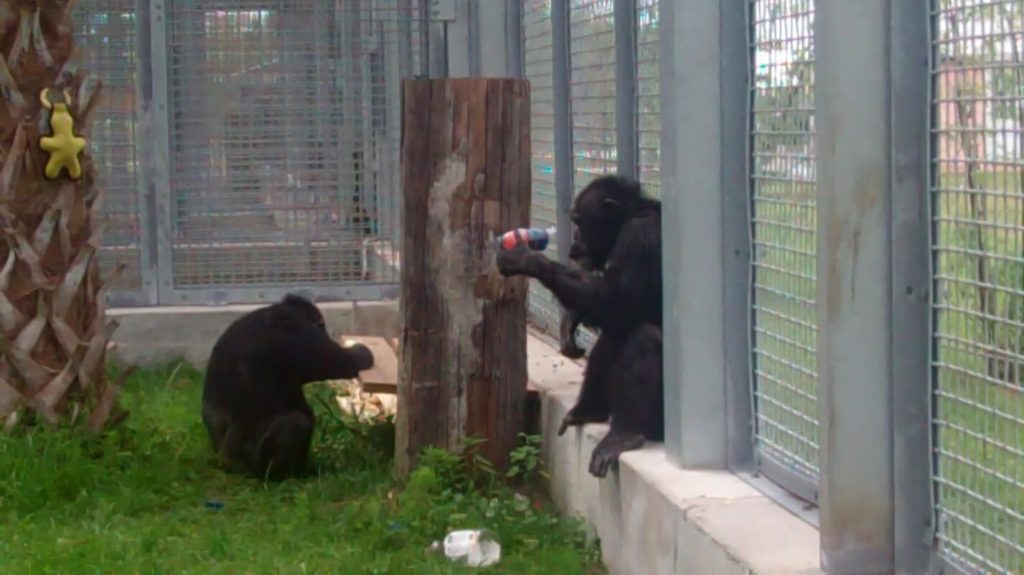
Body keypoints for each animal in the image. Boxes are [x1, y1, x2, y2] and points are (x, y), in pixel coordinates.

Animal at [201, 290, 374, 478]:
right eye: (321, 326)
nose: (326, 333)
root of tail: (226, 464)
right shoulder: (302, 333)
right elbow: (346, 362)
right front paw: (362, 350)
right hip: (250, 463)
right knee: (295, 423)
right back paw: (286, 475)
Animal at [497, 173, 663, 474]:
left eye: (578, 221)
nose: (574, 237)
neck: (631, 216)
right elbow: (609, 311)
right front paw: (570, 322)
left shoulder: (639, 238)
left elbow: (616, 305)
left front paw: (527, 259)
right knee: (612, 338)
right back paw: (587, 411)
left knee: (645, 338)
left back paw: (623, 435)